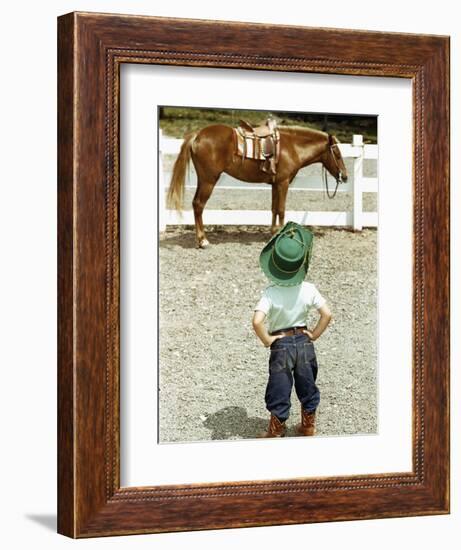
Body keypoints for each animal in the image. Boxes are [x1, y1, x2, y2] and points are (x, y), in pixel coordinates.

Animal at [165, 126, 344, 249]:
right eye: (337, 154)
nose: (345, 176)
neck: (292, 147)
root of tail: (197, 135)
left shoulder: (275, 184)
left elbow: (274, 209)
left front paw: (273, 233)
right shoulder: (283, 183)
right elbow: (281, 209)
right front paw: (281, 234)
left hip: (203, 180)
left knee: (196, 204)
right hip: (208, 180)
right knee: (199, 205)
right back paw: (203, 241)